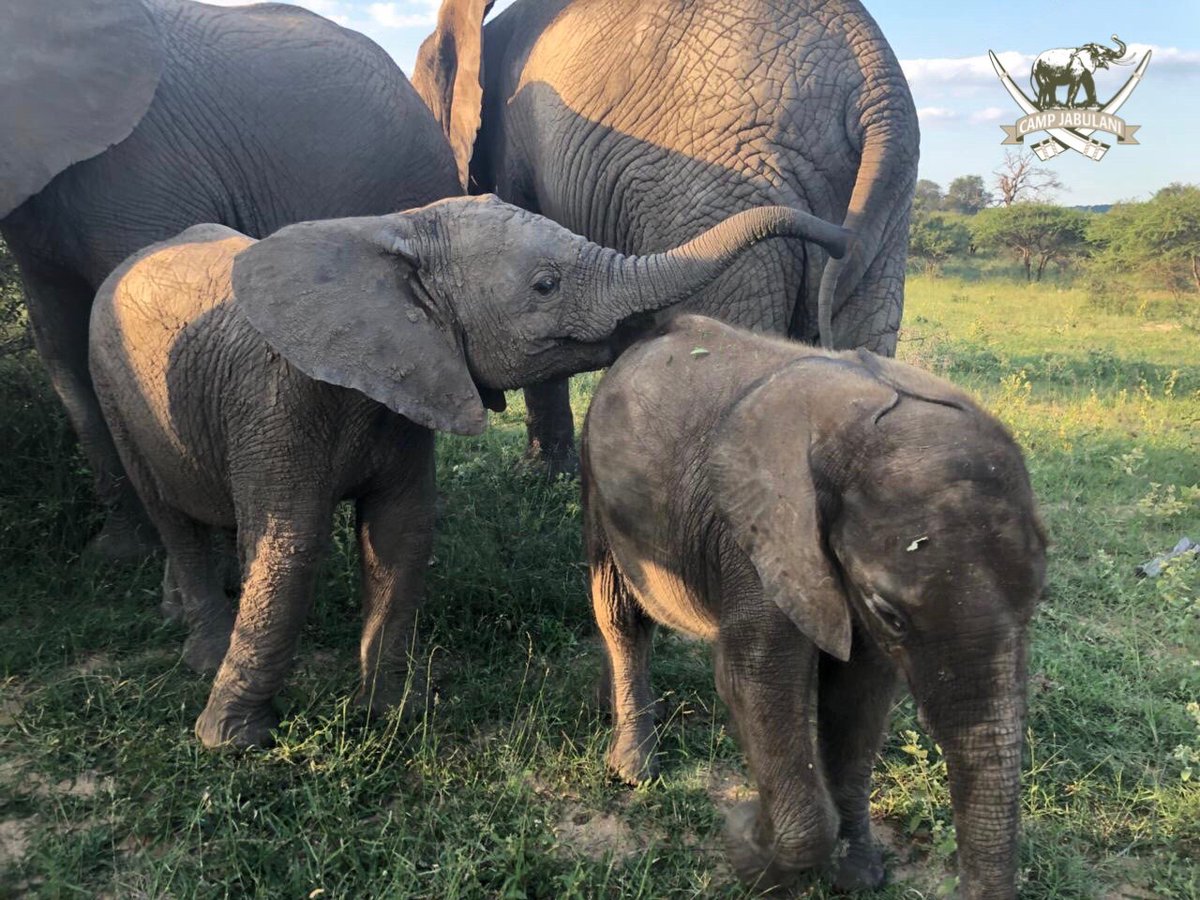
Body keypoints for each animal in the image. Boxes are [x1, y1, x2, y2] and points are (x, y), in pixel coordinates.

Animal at [88, 196, 852, 749]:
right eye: (545, 286)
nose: (841, 240)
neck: (398, 232)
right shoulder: (278, 400)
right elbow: (290, 548)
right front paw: (233, 742)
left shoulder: (410, 387)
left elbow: (401, 536)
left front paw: (390, 716)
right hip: (112, 385)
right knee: (169, 512)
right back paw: (203, 652)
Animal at [581, 315, 1047, 898]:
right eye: (890, 613)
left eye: (1038, 600)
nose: (746, 821)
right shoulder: (757, 541)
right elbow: (756, 681)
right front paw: (746, 845)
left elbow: (857, 698)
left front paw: (858, 875)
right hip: (597, 486)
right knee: (620, 614)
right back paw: (633, 770)